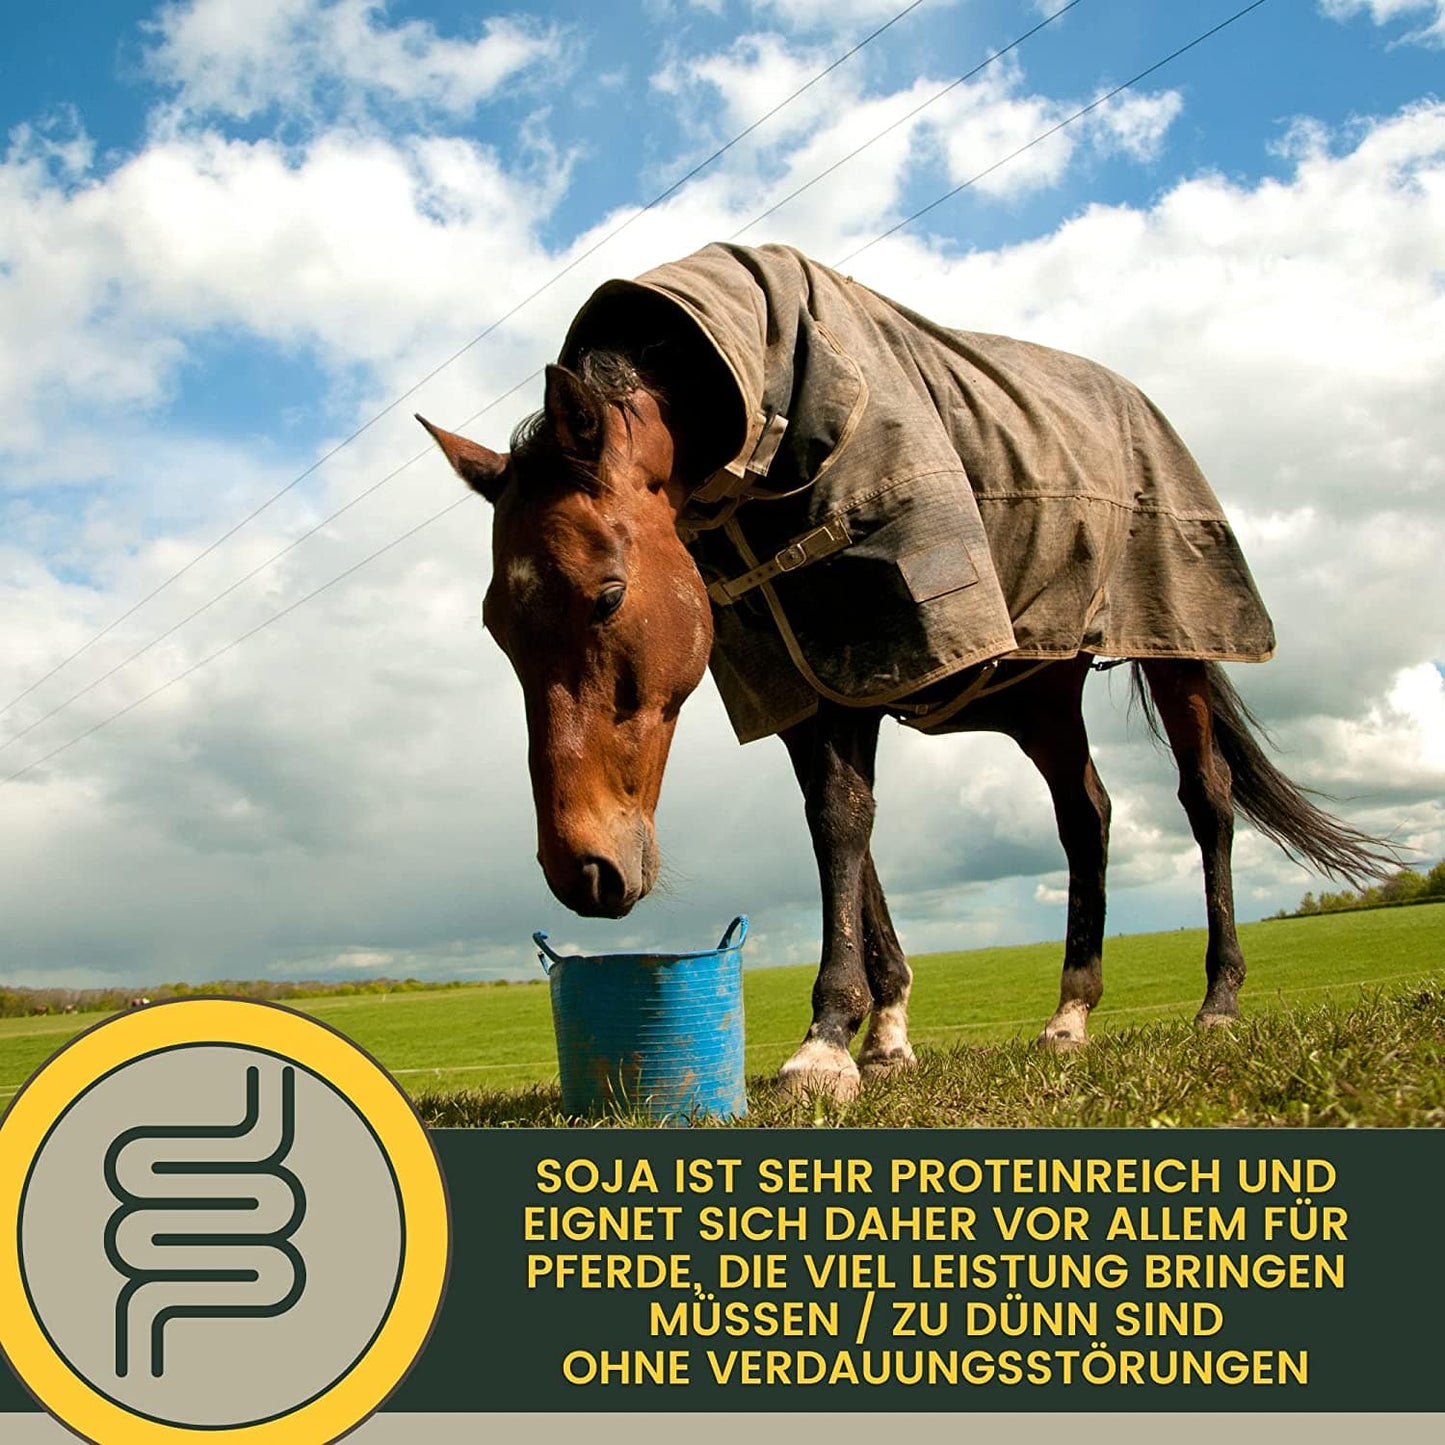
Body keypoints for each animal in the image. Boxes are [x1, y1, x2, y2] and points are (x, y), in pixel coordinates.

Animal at [419, 244, 1392, 1102]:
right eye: (496, 627)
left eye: (609, 594)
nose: (581, 870)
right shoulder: (810, 678)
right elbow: (846, 828)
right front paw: (882, 1035)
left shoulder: (874, 640)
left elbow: (842, 825)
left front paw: (825, 1042)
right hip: (1041, 691)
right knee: (1086, 815)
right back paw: (1069, 1014)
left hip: (1176, 649)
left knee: (1206, 800)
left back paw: (1217, 1000)